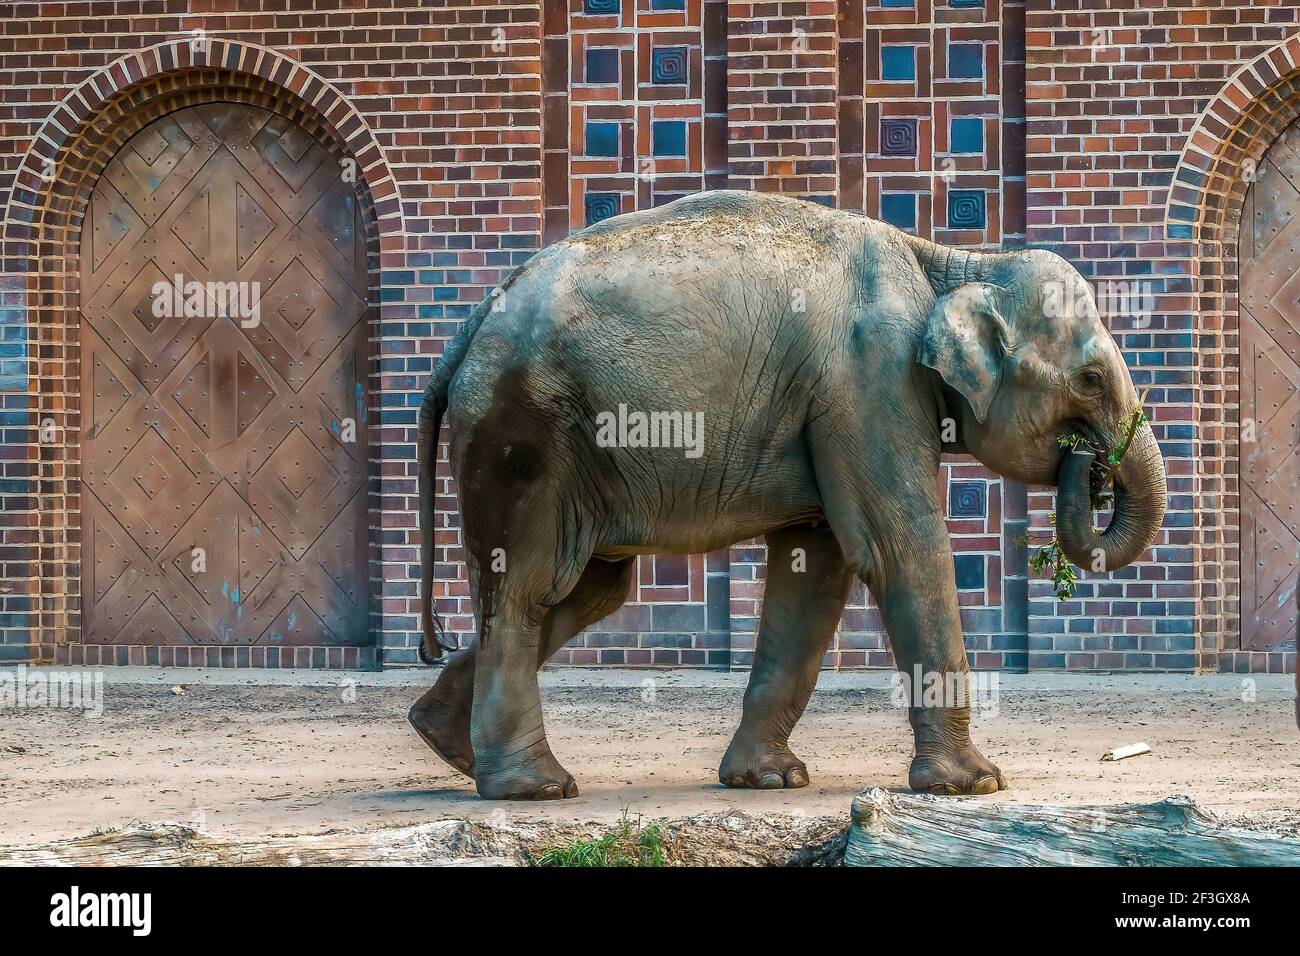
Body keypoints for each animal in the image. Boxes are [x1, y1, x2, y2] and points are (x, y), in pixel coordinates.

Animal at [405, 187, 1170, 801]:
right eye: (1091, 379)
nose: (1090, 466)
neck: (951, 262)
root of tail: (469, 327)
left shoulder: (835, 404)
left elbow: (816, 574)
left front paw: (769, 779)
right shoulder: (869, 381)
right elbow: (898, 548)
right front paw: (974, 784)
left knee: (589, 589)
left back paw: (446, 742)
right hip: (522, 435)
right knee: (530, 586)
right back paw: (532, 788)